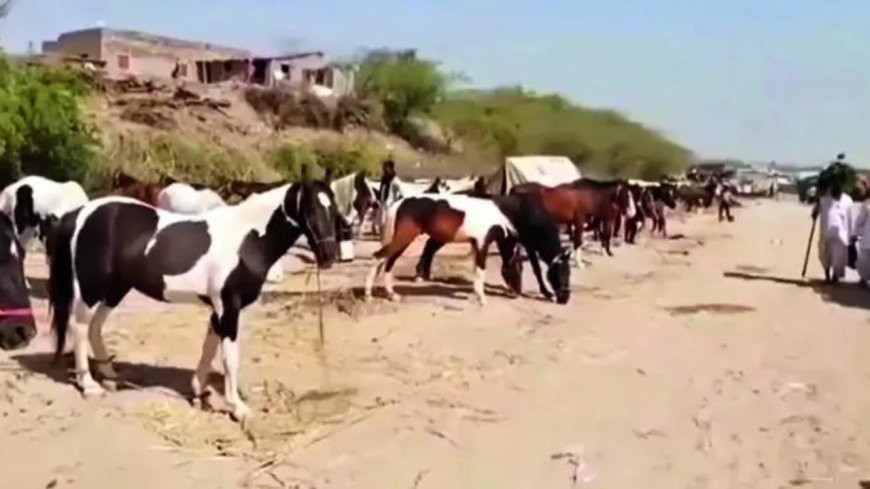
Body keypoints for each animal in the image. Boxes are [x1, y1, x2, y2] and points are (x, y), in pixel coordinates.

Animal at [47, 180, 341, 423]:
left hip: (116, 288)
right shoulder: (229, 307)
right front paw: (238, 408)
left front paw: (199, 390)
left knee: (94, 326)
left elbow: (208, 347)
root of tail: (78, 214)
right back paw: (89, 385)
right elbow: (229, 357)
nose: (330, 255)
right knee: (79, 327)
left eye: (334, 207)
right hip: (91, 288)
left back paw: (109, 375)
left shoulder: (218, 309)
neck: (246, 239)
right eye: (311, 209)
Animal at [364, 192, 572, 305]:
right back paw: (369, 295)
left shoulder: (476, 243)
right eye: (560, 272)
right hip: (404, 237)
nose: (564, 298)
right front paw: (482, 299)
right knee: (379, 257)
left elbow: (475, 270)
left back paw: (391, 294)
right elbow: (480, 271)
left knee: (387, 262)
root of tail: (398, 202)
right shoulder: (482, 242)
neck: (503, 213)